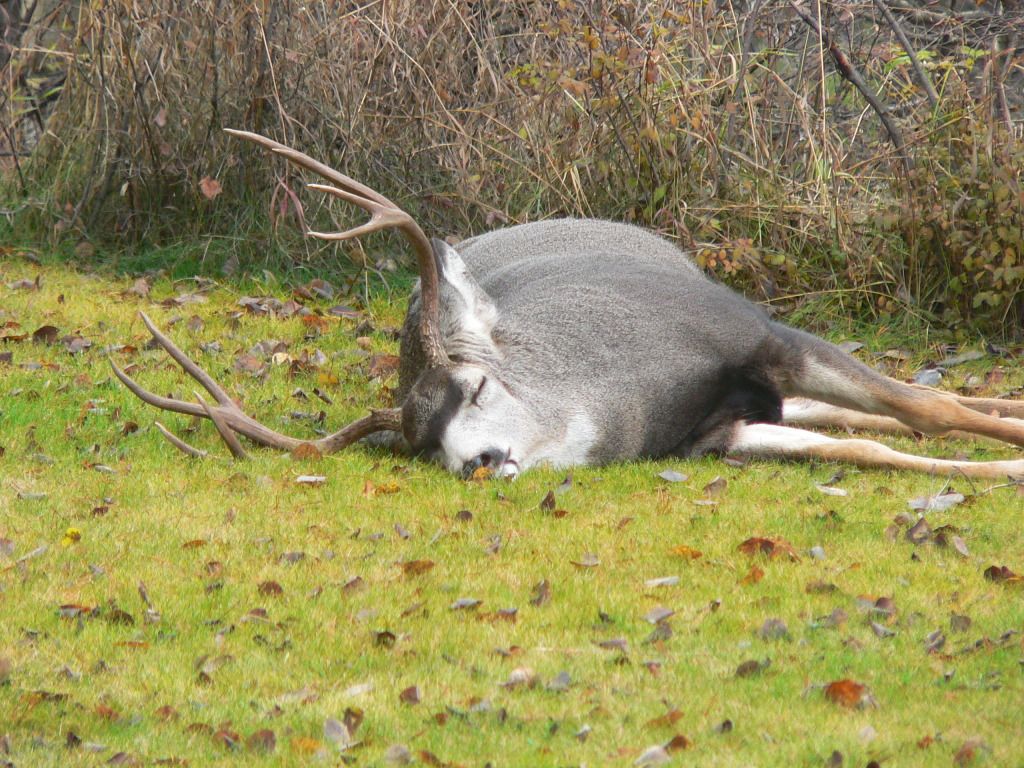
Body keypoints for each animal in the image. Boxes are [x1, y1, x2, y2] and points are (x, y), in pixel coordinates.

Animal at [110, 130, 1024, 480]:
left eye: (477, 388)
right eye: (423, 446)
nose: (477, 461)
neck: (631, 396)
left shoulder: (760, 332)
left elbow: (928, 409)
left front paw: (1009, 462)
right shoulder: (713, 435)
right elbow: (872, 447)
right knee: (851, 420)